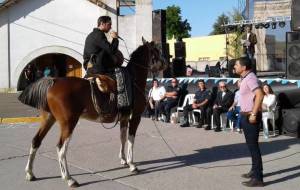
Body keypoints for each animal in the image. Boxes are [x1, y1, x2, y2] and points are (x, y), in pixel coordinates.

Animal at [19, 37, 168, 188]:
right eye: (156, 51)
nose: (166, 63)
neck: (133, 79)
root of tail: (54, 82)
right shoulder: (135, 117)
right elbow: (131, 139)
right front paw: (132, 164)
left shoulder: (124, 118)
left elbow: (122, 137)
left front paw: (123, 160)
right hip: (68, 123)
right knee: (61, 148)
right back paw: (69, 178)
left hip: (49, 118)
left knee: (36, 141)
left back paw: (30, 173)